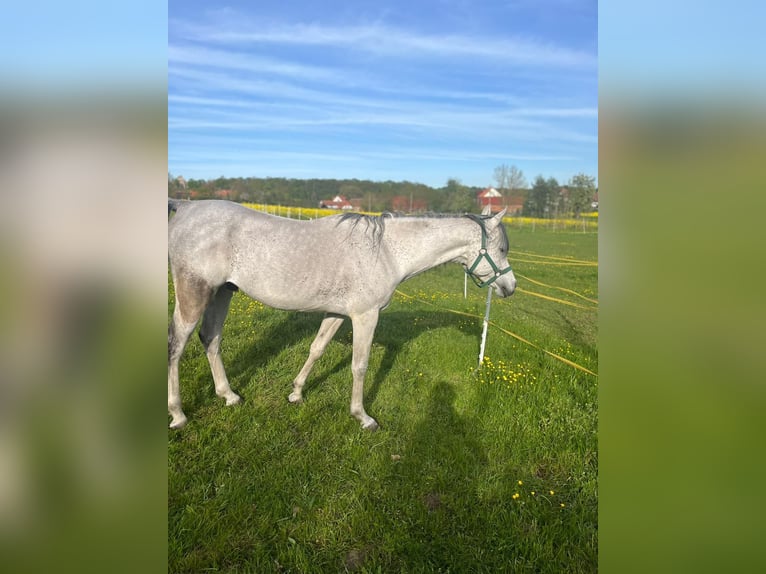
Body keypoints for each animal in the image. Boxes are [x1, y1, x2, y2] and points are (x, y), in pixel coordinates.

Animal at [167, 199, 516, 431]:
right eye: (502, 249)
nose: (510, 287)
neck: (387, 251)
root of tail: (185, 208)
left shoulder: (336, 313)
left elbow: (317, 349)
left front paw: (296, 393)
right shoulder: (365, 316)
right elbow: (359, 366)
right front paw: (363, 416)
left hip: (222, 293)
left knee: (211, 339)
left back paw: (229, 396)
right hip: (194, 294)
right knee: (177, 345)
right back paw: (178, 414)